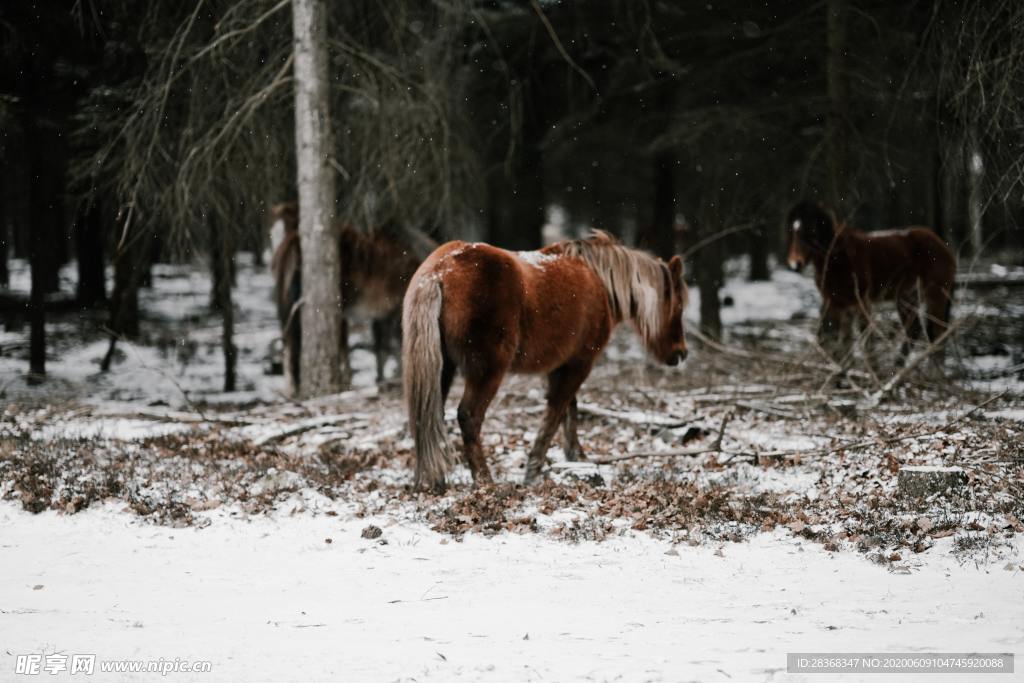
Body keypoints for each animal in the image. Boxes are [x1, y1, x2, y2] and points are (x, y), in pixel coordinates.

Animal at [269, 202, 426, 393]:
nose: (274, 262)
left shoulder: (384, 313)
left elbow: (382, 347)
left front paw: (383, 379)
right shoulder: (387, 312)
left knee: (290, 345)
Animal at [402, 230, 689, 491]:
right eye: (678, 306)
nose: (681, 353)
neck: (598, 281)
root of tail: (439, 271)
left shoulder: (560, 366)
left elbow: (568, 410)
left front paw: (576, 457)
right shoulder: (580, 363)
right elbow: (556, 412)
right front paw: (535, 469)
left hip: (443, 368)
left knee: (427, 416)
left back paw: (431, 480)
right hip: (488, 372)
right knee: (469, 416)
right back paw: (485, 481)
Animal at [785, 200, 956, 365]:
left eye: (811, 230)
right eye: (792, 231)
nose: (795, 264)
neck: (837, 257)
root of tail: (942, 245)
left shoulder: (860, 302)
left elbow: (865, 341)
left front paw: (873, 371)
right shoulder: (835, 302)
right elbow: (833, 339)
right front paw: (843, 371)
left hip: (935, 296)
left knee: (938, 333)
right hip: (906, 297)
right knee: (914, 329)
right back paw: (897, 367)